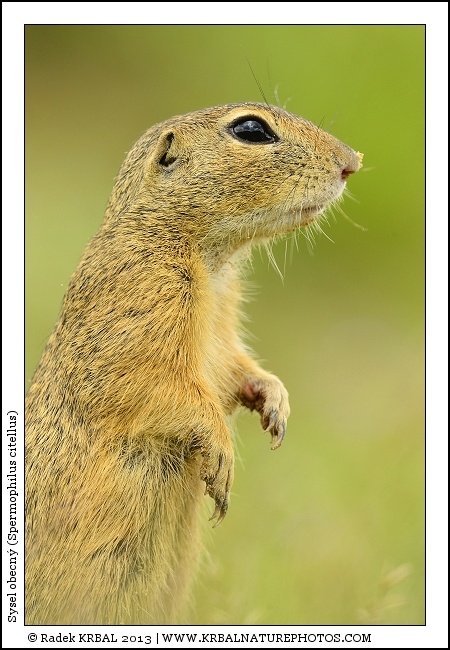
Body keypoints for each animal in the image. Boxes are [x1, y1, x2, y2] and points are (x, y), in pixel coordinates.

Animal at [25, 102, 363, 624]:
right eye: (252, 129)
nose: (353, 162)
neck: (211, 261)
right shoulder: (143, 297)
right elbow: (155, 386)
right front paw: (221, 460)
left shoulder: (224, 331)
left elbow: (236, 371)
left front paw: (275, 404)